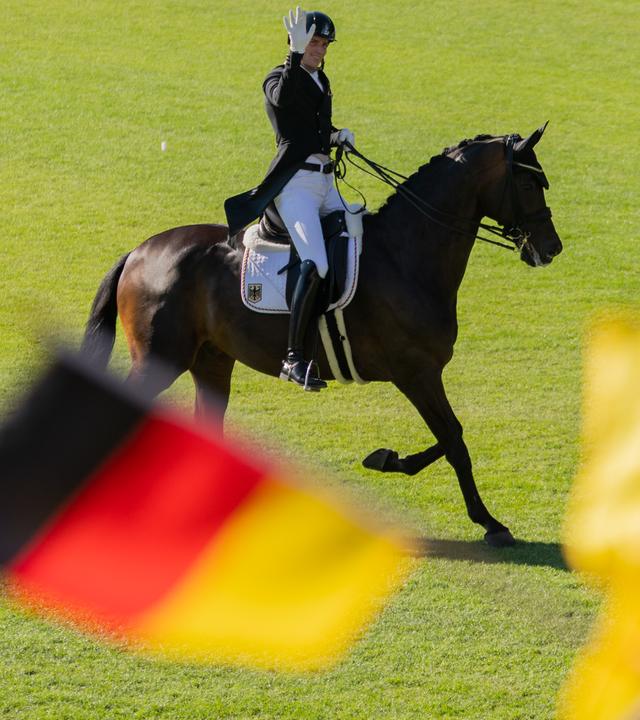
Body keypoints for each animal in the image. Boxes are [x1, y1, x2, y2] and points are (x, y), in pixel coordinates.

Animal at [81, 127, 562, 547]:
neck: (406, 256)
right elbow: (454, 440)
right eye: (528, 181)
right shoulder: (417, 373)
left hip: (212, 362)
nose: (552, 248)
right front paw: (489, 522)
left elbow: (449, 439)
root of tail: (140, 252)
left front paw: (386, 459)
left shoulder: (420, 375)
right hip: (160, 360)